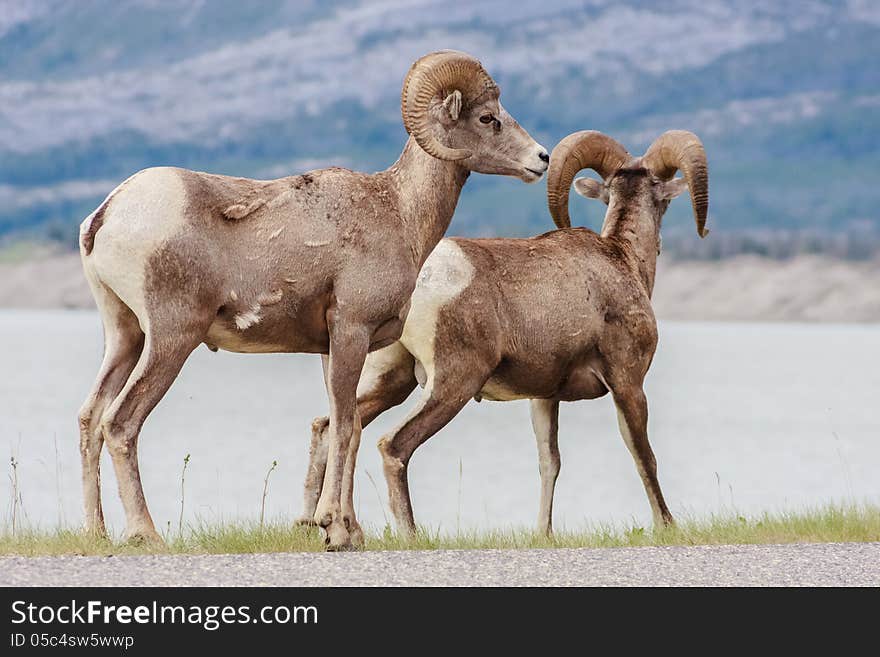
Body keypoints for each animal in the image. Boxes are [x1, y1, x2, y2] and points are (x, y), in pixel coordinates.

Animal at [79, 50, 548, 548]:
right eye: (487, 118)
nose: (541, 159)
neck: (399, 212)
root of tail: (108, 214)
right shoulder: (351, 331)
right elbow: (342, 426)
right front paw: (333, 529)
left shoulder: (329, 347)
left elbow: (349, 426)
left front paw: (348, 530)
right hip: (171, 337)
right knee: (120, 423)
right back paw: (145, 534)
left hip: (124, 334)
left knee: (91, 418)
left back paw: (96, 533)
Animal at [302, 128, 708, 532]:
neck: (623, 259)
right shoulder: (628, 383)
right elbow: (644, 456)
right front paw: (667, 525)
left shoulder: (544, 397)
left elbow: (549, 463)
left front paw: (543, 532)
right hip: (453, 383)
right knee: (393, 445)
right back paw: (409, 534)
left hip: (389, 379)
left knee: (334, 426)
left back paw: (318, 524)